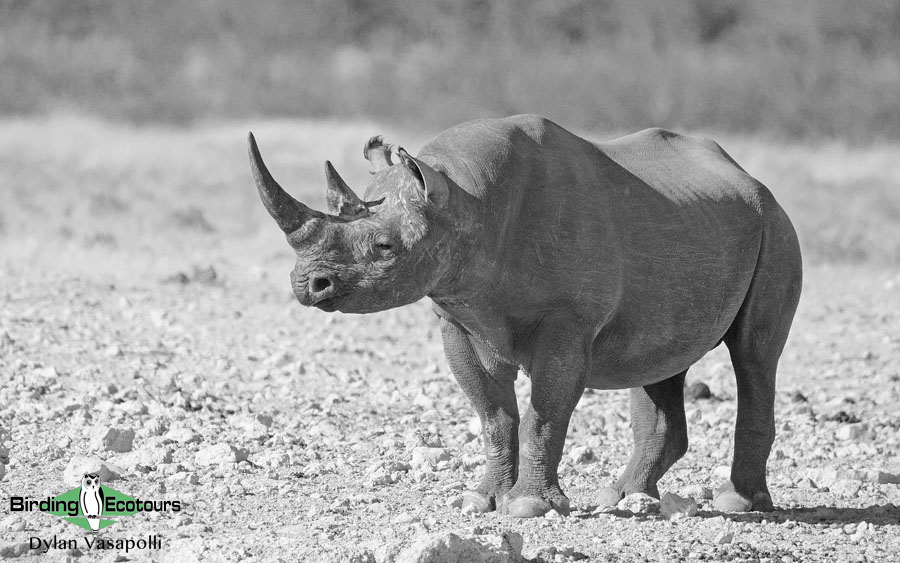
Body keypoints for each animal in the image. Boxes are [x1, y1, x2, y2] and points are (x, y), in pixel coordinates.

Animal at [246, 114, 800, 520]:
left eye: (384, 247)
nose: (307, 284)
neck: (465, 201)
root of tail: (751, 179)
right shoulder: (457, 316)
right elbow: (493, 414)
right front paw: (481, 500)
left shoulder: (568, 322)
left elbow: (545, 413)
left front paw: (530, 507)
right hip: (690, 223)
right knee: (659, 360)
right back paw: (622, 498)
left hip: (775, 224)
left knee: (754, 357)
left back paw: (738, 503)